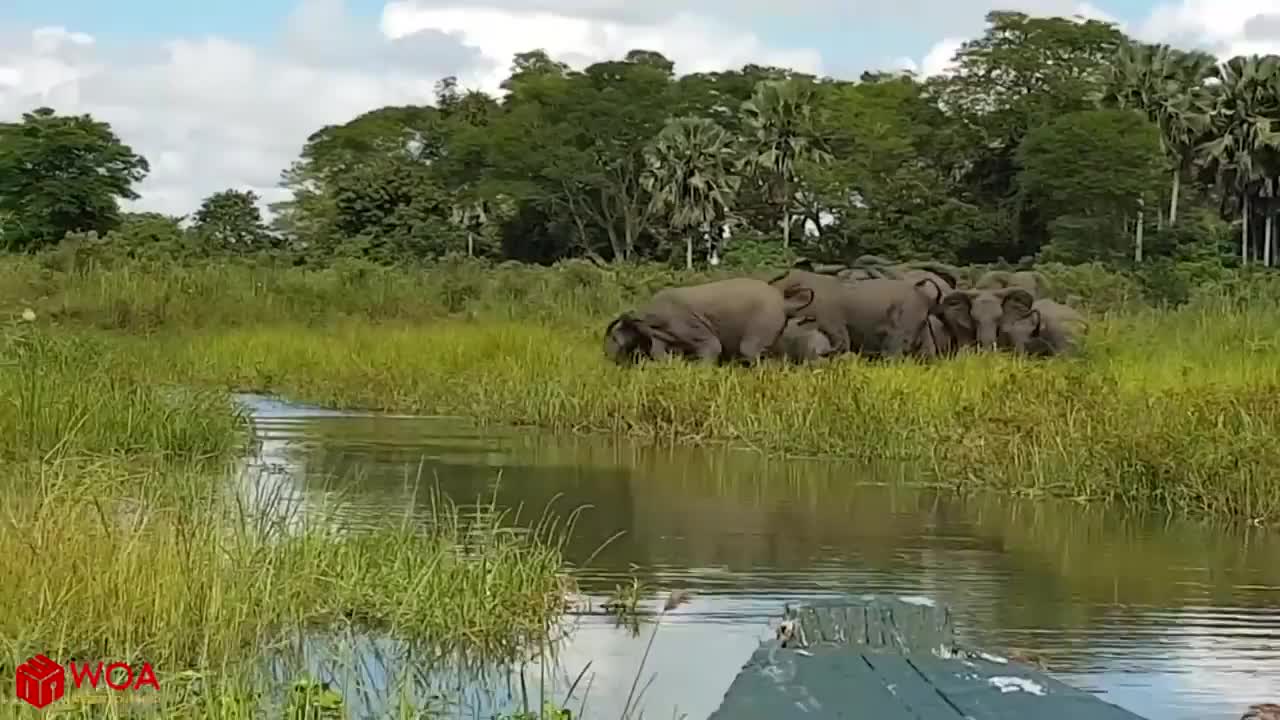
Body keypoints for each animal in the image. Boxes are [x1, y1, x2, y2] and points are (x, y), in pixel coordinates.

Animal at [604, 274, 814, 363]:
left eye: (614, 338)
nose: (607, 356)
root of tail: (783, 302)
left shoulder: (686, 324)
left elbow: (712, 347)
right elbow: (660, 353)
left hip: (764, 319)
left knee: (749, 350)